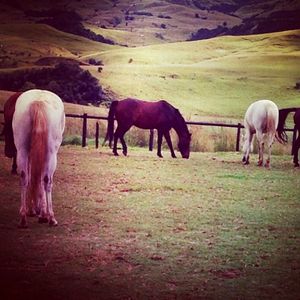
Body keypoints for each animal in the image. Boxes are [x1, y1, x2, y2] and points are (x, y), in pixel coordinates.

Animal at [12, 89, 65, 227]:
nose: (35, 211)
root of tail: (38, 101)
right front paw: (43, 214)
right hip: (51, 153)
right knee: (47, 180)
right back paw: (51, 217)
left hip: (22, 149)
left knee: (24, 177)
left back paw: (23, 218)